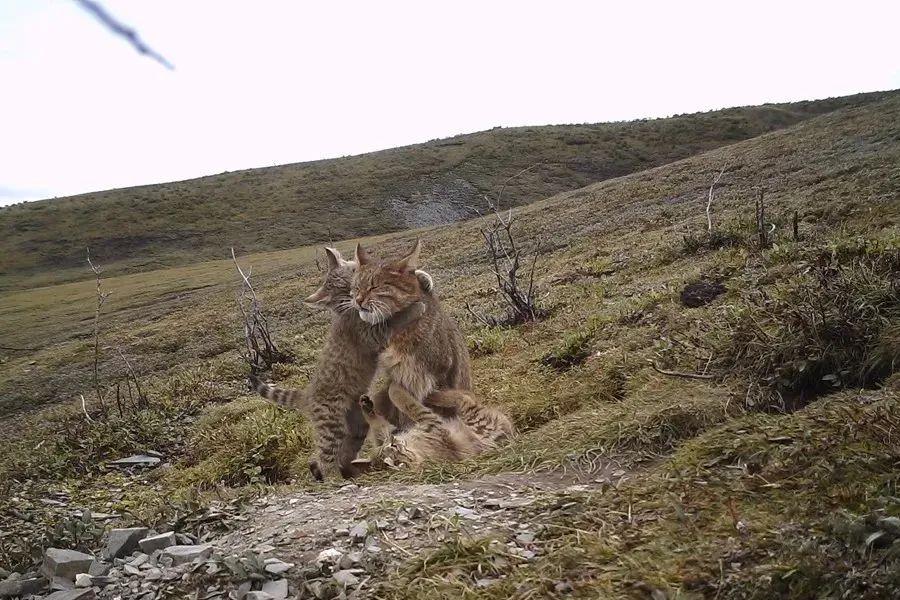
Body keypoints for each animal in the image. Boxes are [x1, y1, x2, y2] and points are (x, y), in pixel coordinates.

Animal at [244, 246, 430, 480]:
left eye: (354, 272)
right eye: (345, 290)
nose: (358, 295)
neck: (348, 310)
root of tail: (308, 394)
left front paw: (424, 278)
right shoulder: (371, 334)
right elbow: (393, 320)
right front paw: (415, 307)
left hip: (355, 426)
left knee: (341, 452)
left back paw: (349, 470)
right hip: (330, 425)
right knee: (326, 457)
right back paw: (335, 478)